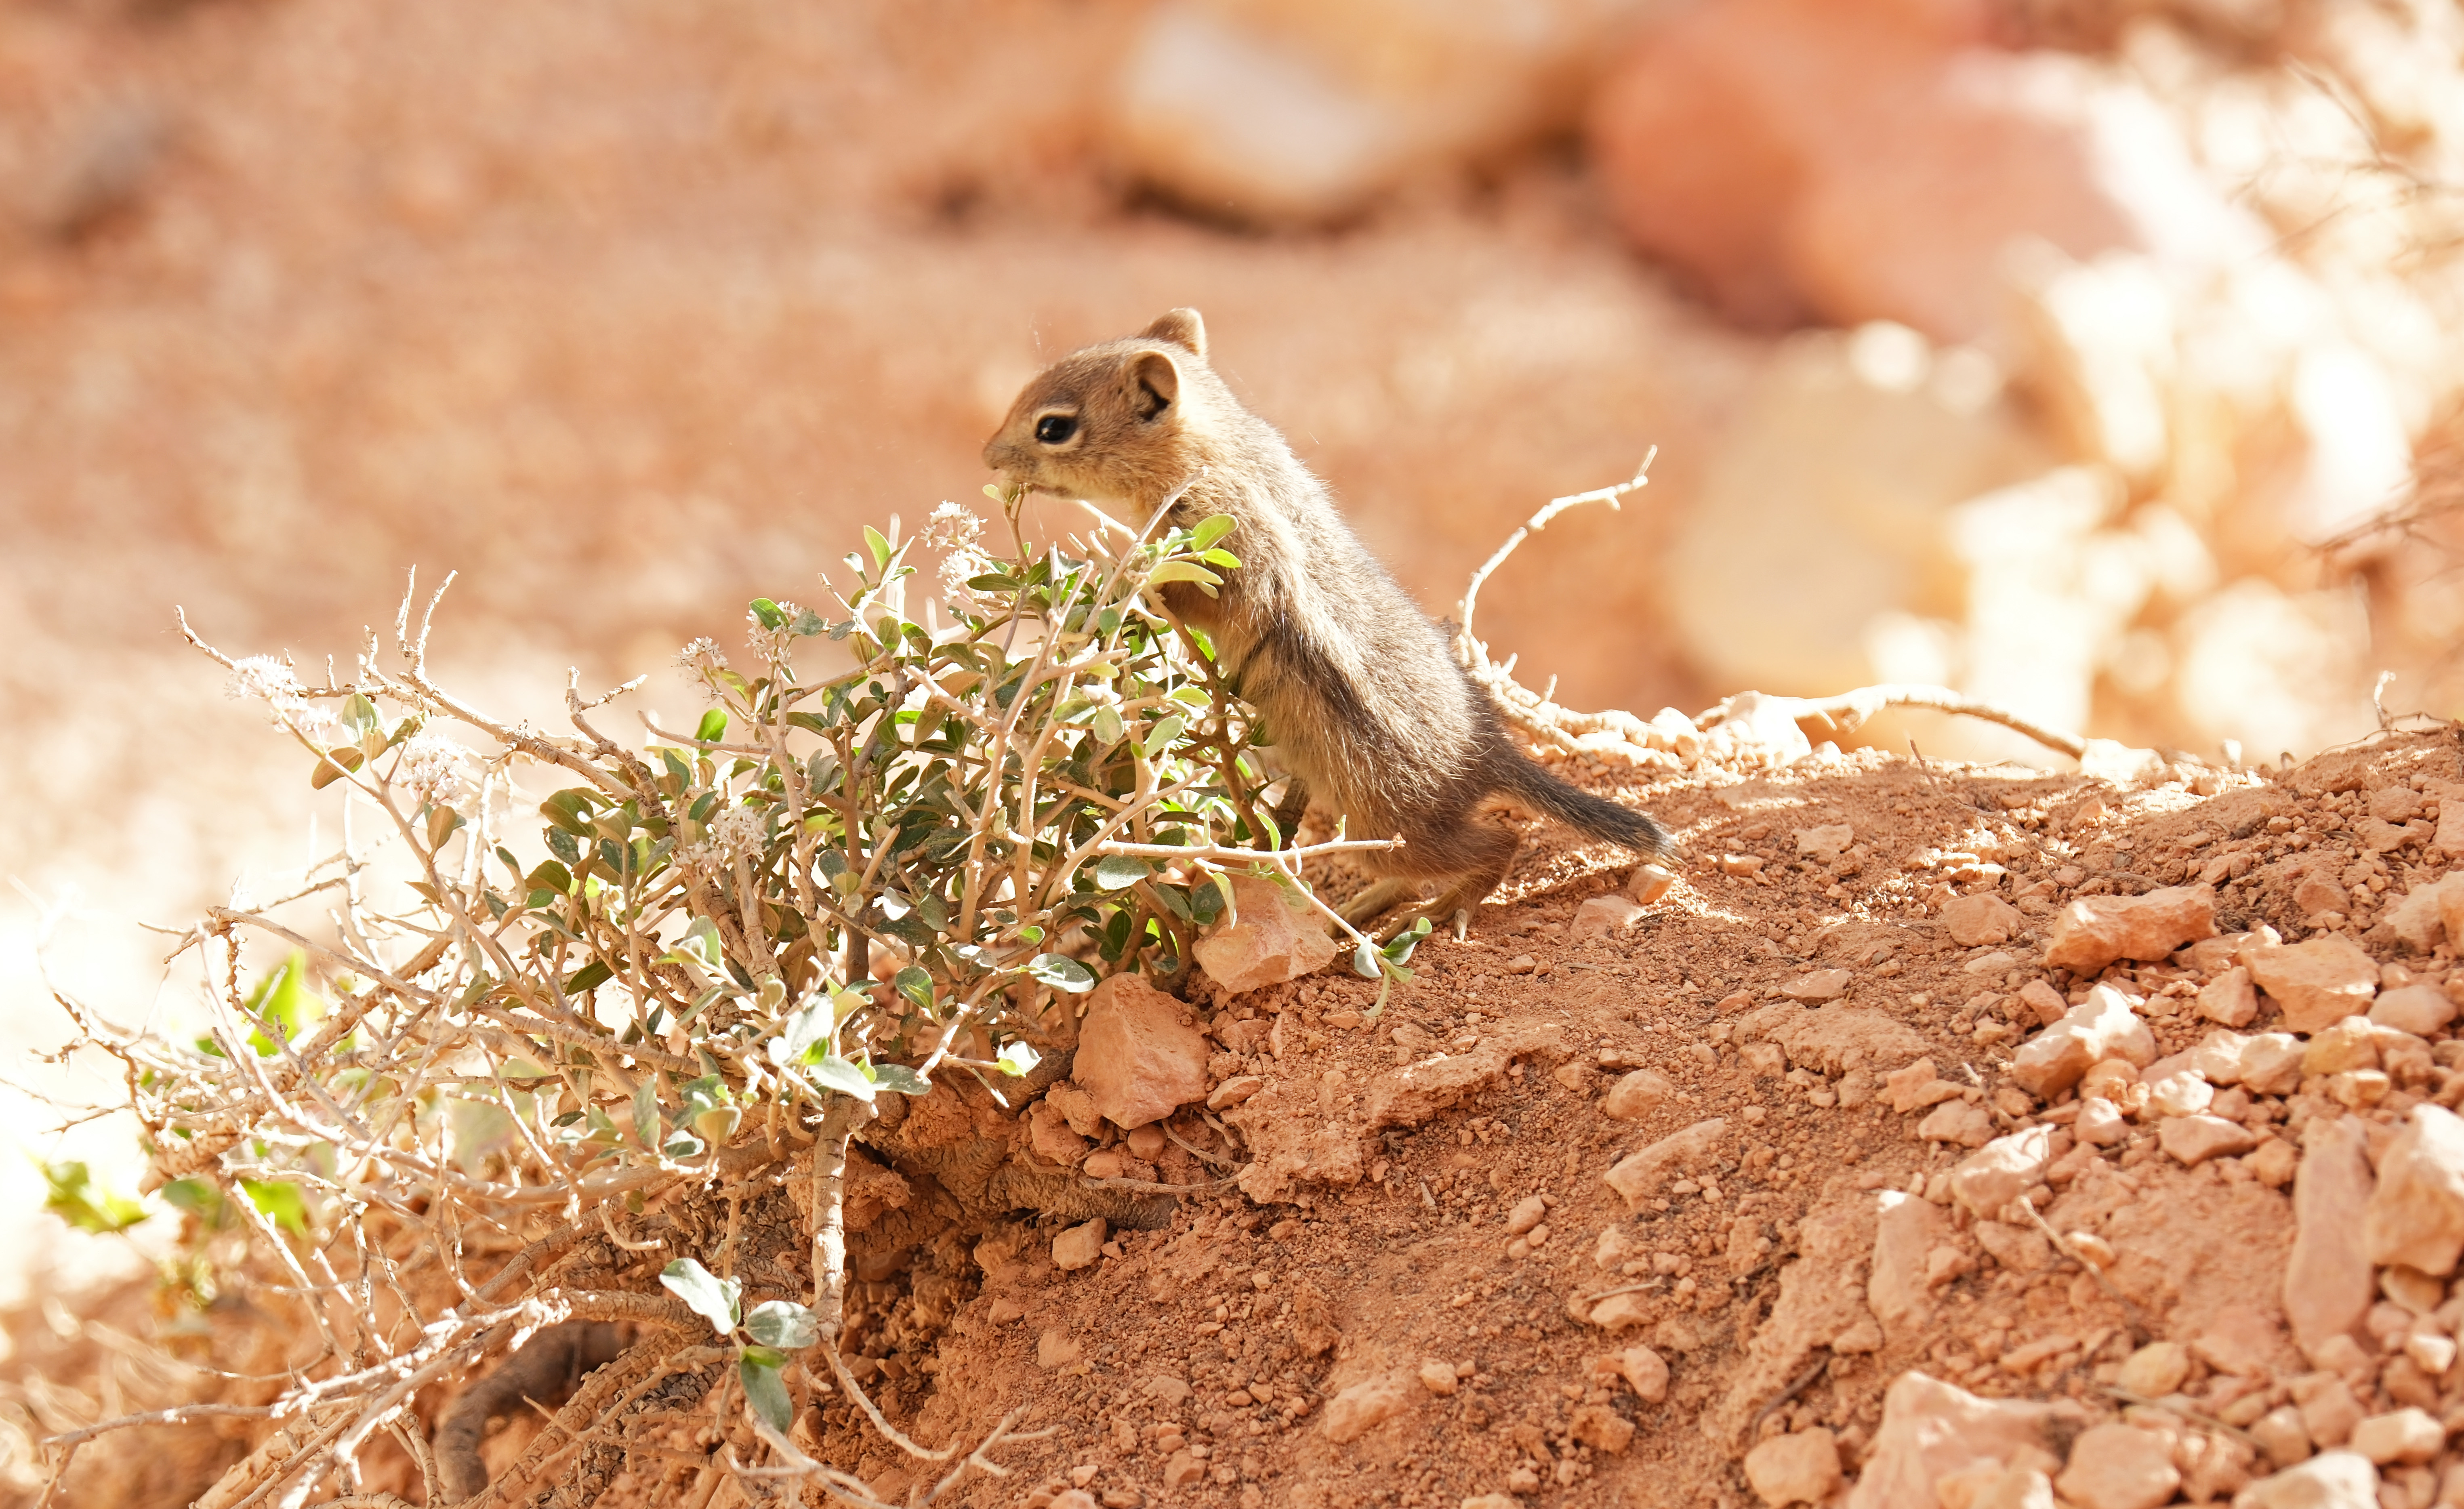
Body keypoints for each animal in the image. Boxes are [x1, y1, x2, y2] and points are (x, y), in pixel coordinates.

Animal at [982, 308, 1677, 936]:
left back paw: (1441, 909)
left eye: (1054, 427)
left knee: (1497, 846)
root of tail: (1490, 754)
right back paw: (1364, 908)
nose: (988, 457)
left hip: (1386, 822)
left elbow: (1194, 596)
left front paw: (1124, 575)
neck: (1219, 449)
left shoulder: (1233, 550)